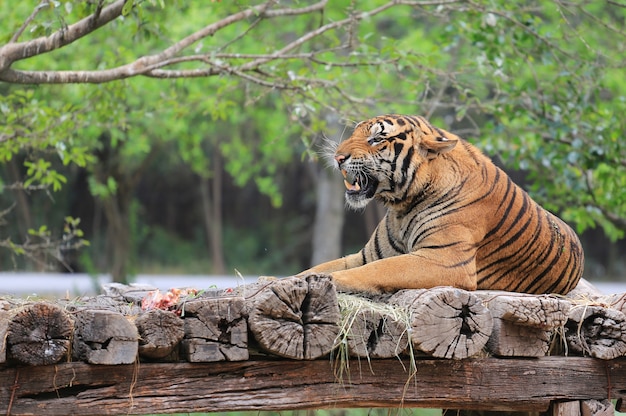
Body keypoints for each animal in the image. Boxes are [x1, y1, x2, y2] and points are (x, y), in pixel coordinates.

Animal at [300, 115, 584, 294]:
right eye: (354, 133)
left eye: (376, 139)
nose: (338, 157)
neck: (402, 205)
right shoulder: (366, 255)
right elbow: (322, 266)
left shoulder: (445, 259)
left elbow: (378, 270)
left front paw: (331, 280)